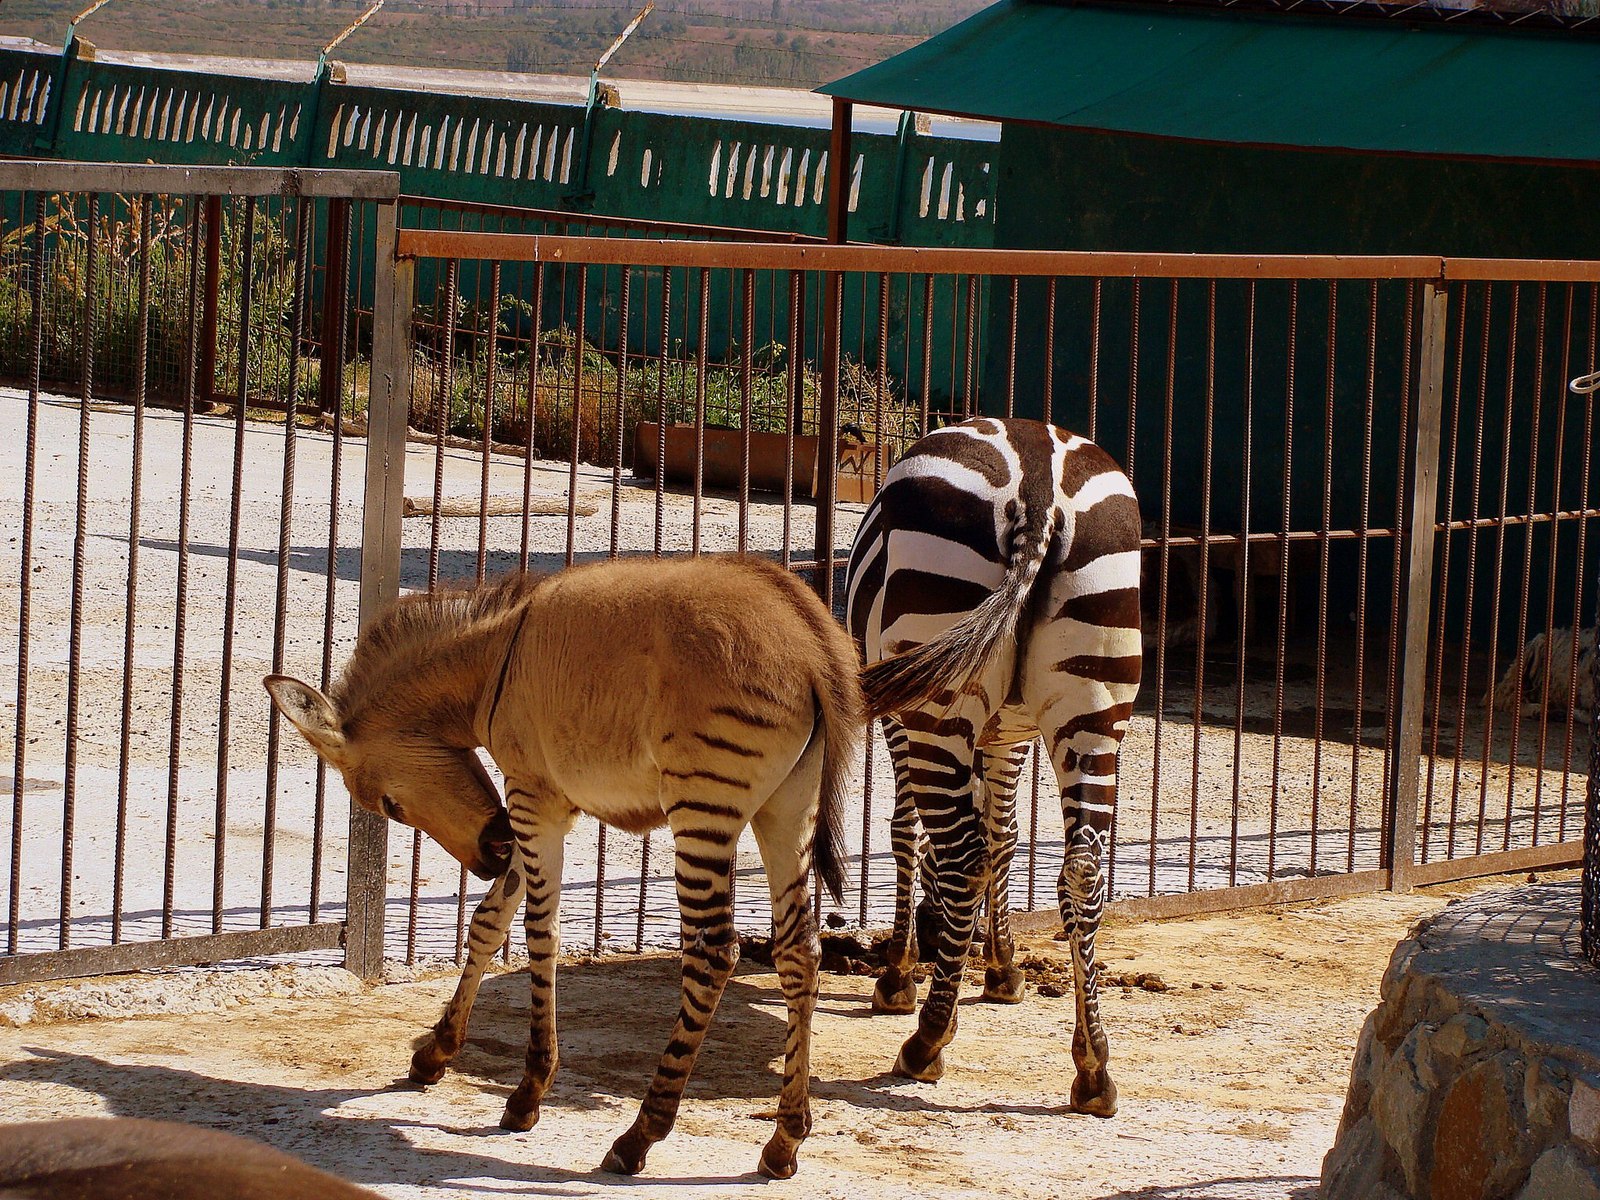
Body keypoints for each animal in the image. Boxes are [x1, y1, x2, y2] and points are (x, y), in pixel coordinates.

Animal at [844, 419, 1145, 1113]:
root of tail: (1038, 485)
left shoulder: (902, 716)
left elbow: (909, 834)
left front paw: (901, 977)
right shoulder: (1012, 730)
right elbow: (1003, 836)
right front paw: (1003, 968)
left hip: (935, 694)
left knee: (961, 858)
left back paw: (925, 1042)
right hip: (1095, 702)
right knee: (1082, 870)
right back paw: (1094, 1067)